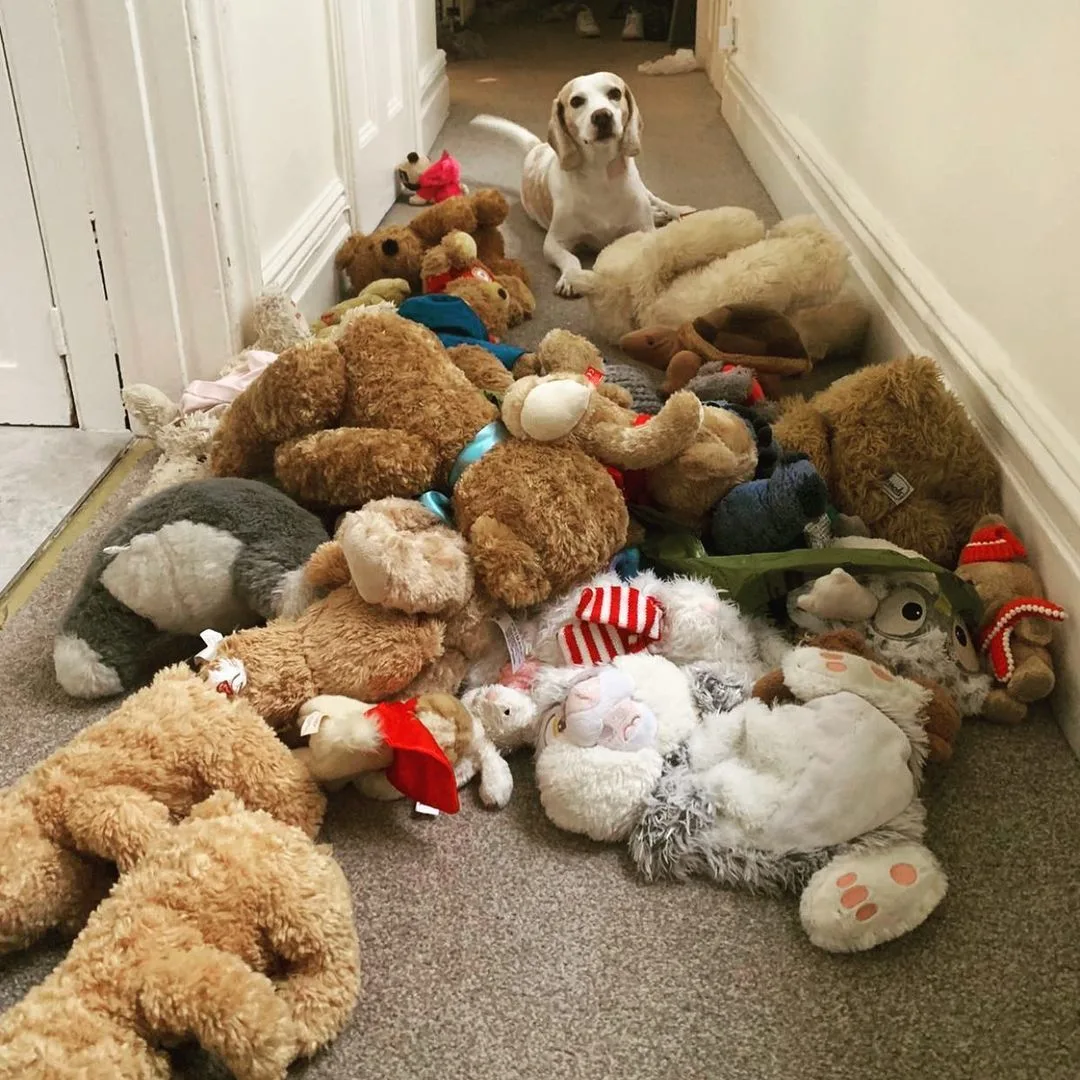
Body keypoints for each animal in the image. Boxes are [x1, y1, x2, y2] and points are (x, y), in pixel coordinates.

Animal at [470, 71, 691, 298]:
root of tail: (537, 147)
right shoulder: (553, 243)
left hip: (645, 192)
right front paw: (571, 277)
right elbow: (571, 258)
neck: (601, 175)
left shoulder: (644, 229)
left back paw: (675, 211)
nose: (602, 115)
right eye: (576, 101)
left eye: (615, 93)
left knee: (657, 200)